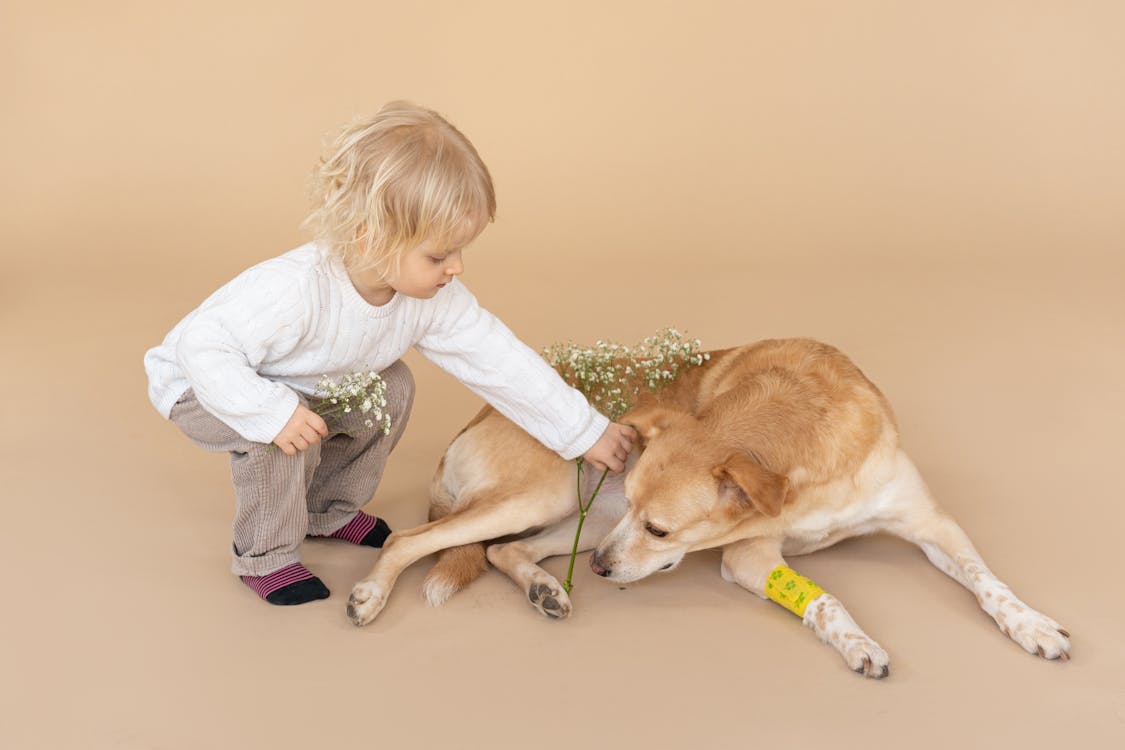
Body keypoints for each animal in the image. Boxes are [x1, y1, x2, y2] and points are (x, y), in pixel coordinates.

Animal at [346, 337, 1066, 679]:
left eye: (660, 529)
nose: (601, 570)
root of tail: (476, 416)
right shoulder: (747, 556)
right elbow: (828, 601)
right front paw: (860, 644)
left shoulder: (930, 521)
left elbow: (987, 582)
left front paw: (1032, 624)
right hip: (557, 500)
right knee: (413, 539)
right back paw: (372, 595)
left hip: (587, 517)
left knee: (506, 550)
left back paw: (545, 589)